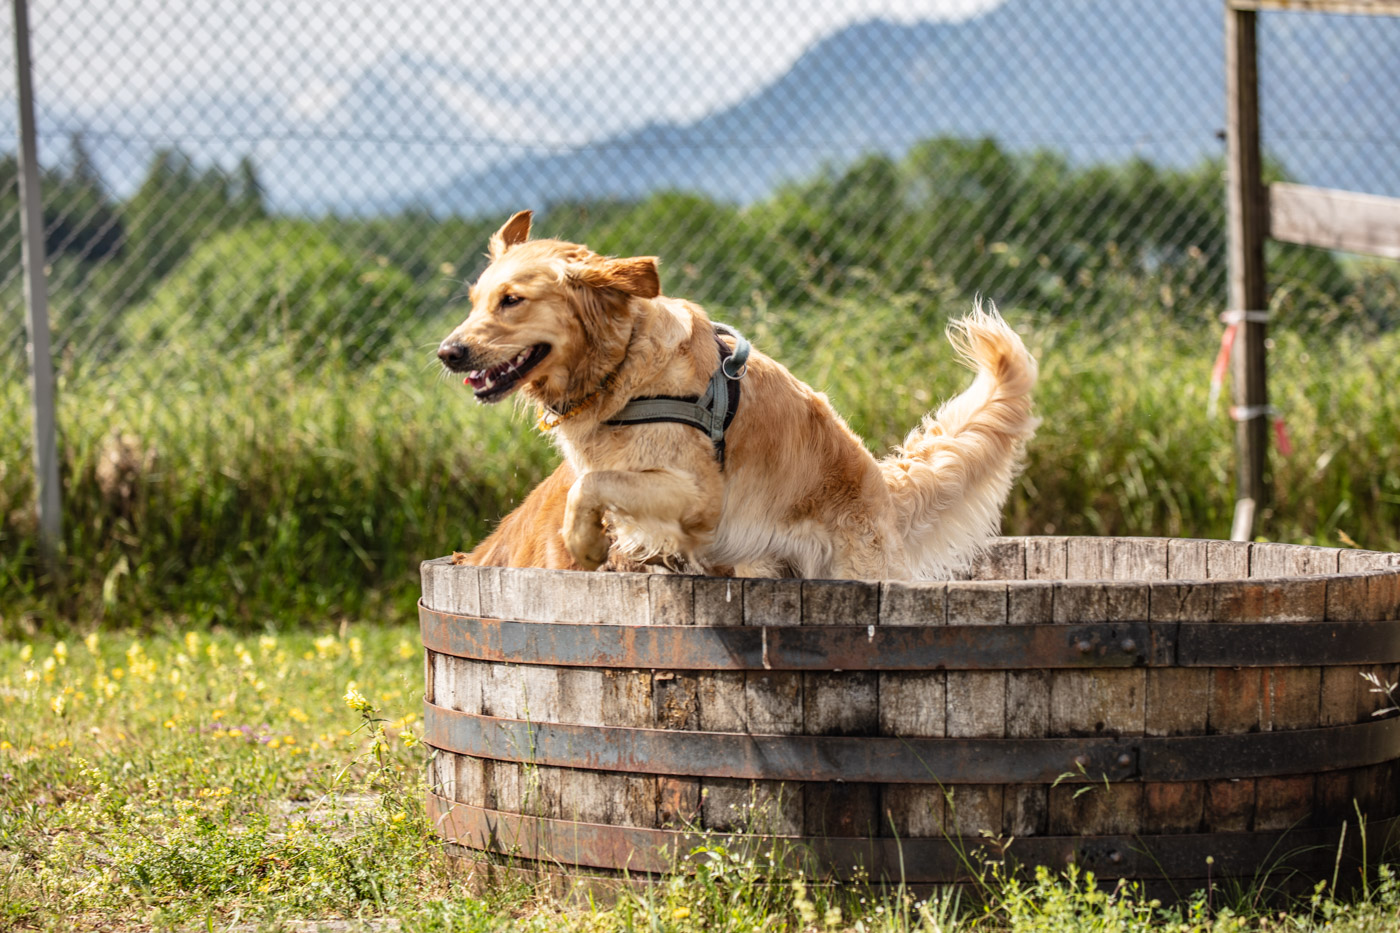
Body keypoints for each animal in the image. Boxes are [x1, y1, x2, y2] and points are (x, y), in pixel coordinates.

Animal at [439, 210, 1041, 577]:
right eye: (474, 301)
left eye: (512, 300)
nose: (448, 352)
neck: (623, 365)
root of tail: (882, 487)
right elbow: (592, 485)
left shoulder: (700, 497)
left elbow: (590, 484)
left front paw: (585, 545)